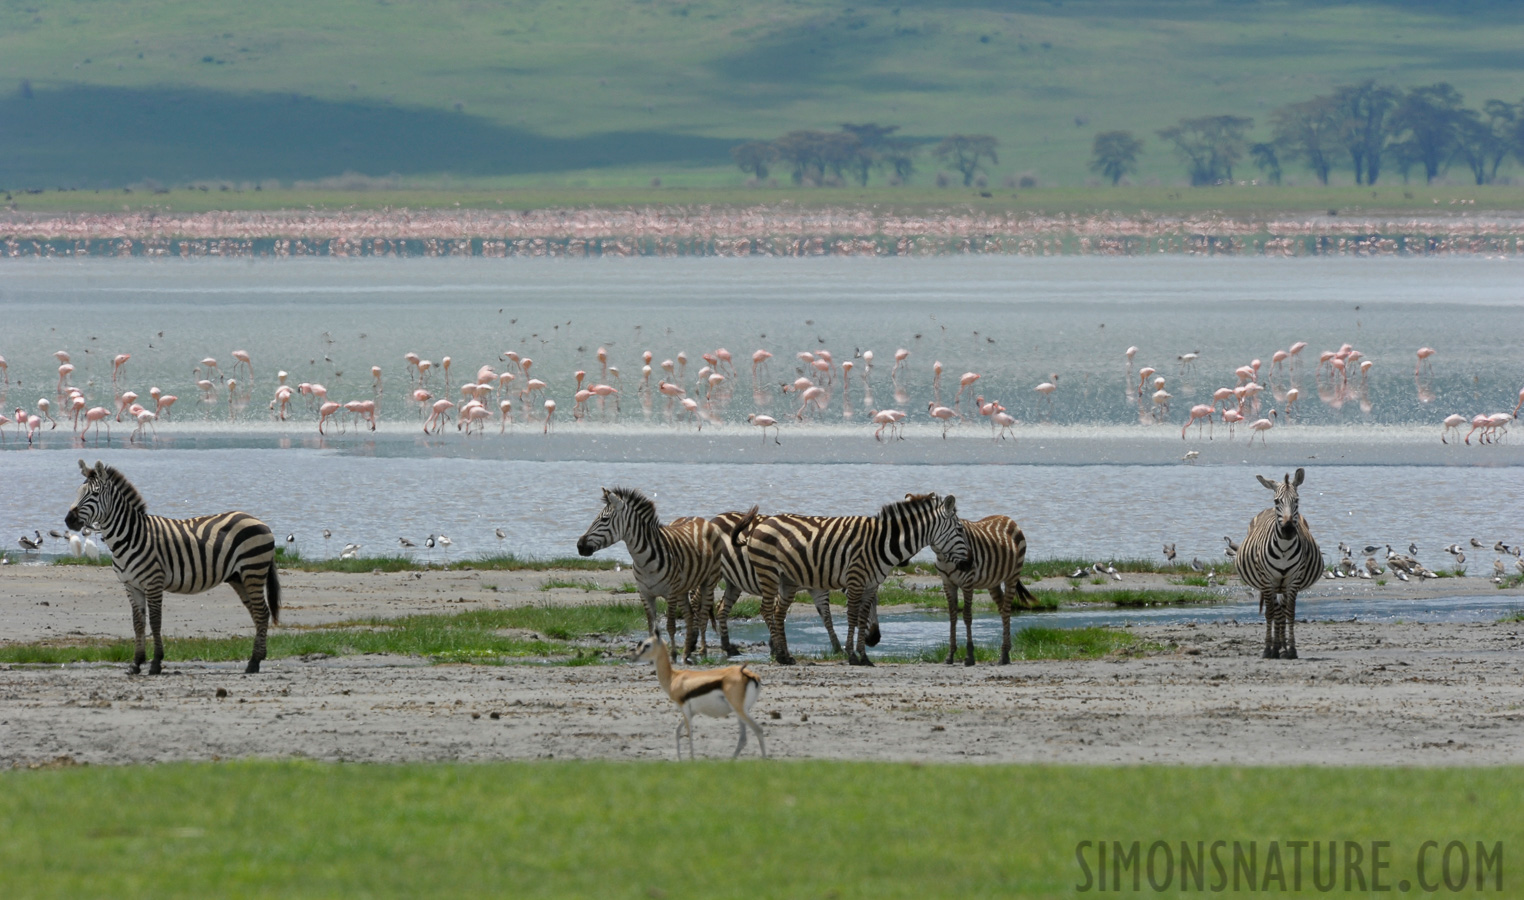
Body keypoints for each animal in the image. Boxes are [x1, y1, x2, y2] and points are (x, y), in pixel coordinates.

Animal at [63, 459, 280, 673]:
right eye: (77, 492)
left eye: (94, 494)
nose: (69, 520)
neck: (131, 536)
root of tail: (260, 521)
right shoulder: (130, 585)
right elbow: (138, 623)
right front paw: (136, 663)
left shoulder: (153, 582)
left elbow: (155, 620)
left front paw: (156, 663)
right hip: (238, 577)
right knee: (258, 613)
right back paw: (258, 658)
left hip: (253, 570)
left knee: (262, 612)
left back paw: (253, 663)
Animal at [576, 490, 731, 667]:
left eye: (604, 519)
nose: (579, 546)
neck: (644, 561)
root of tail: (699, 518)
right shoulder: (645, 594)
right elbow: (651, 627)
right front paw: (652, 656)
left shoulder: (670, 594)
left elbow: (670, 626)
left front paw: (673, 655)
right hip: (682, 589)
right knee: (690, 615)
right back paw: (686, 653)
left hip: (708, 582)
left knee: (703, 615)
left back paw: (702, 651)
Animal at [743, 490, 969, 667]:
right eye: (959, 529)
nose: (968, 563)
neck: (881, 542)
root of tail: (764, 521)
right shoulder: (855, 579)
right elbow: (852, 616)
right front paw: (852, 655)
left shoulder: (871, 585)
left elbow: (862, 617)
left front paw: (864, 657)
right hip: (768, 572)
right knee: (766, 609)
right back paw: (780, 656)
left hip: (787, 580)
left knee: (778, 612)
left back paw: (786, 656)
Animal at [932, 517, 1042, 667]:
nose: (969, 561)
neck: (946, 559)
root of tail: (1007, 517)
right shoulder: (948, 584)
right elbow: (952, 616)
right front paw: (950, 655)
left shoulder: (968, 583)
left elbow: (967, 616)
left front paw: (969, 657)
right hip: (993, 583)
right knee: (1002, 610)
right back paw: (1005, 654)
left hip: (1012, 576)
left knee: (1007, 609)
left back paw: (1004, 654)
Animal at [1237, 469, 1322, 657]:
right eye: (1277, 501)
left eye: (1297, 500)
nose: (1288, 530)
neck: (1284, 547)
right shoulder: (1267, 580)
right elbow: (1270, 613)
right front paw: (1268, 649)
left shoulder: (1293, 580)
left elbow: (1290, 613)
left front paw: (1291, 649)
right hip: (1270, 584)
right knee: (1275, 611)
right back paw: (1276, 647)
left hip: (1282, 585)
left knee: (1281, 611)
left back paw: (1282, 646)